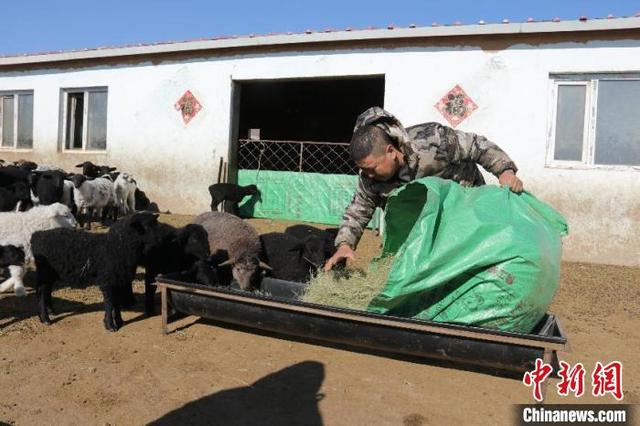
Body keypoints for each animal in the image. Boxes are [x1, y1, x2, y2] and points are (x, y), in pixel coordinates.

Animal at [32, 211, 162, 332]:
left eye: (156, 224)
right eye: (145, 227)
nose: (159, 240)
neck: (116, 246)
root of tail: (37, 235)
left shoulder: (118, 281)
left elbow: (116, 303)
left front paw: (119, 322)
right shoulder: (107, 281)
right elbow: (110, 303)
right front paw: (110, 325)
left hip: (51, 273)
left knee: (47, 290)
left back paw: (50, 312)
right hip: (45, 272)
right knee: (41, 292)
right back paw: (45, 318)